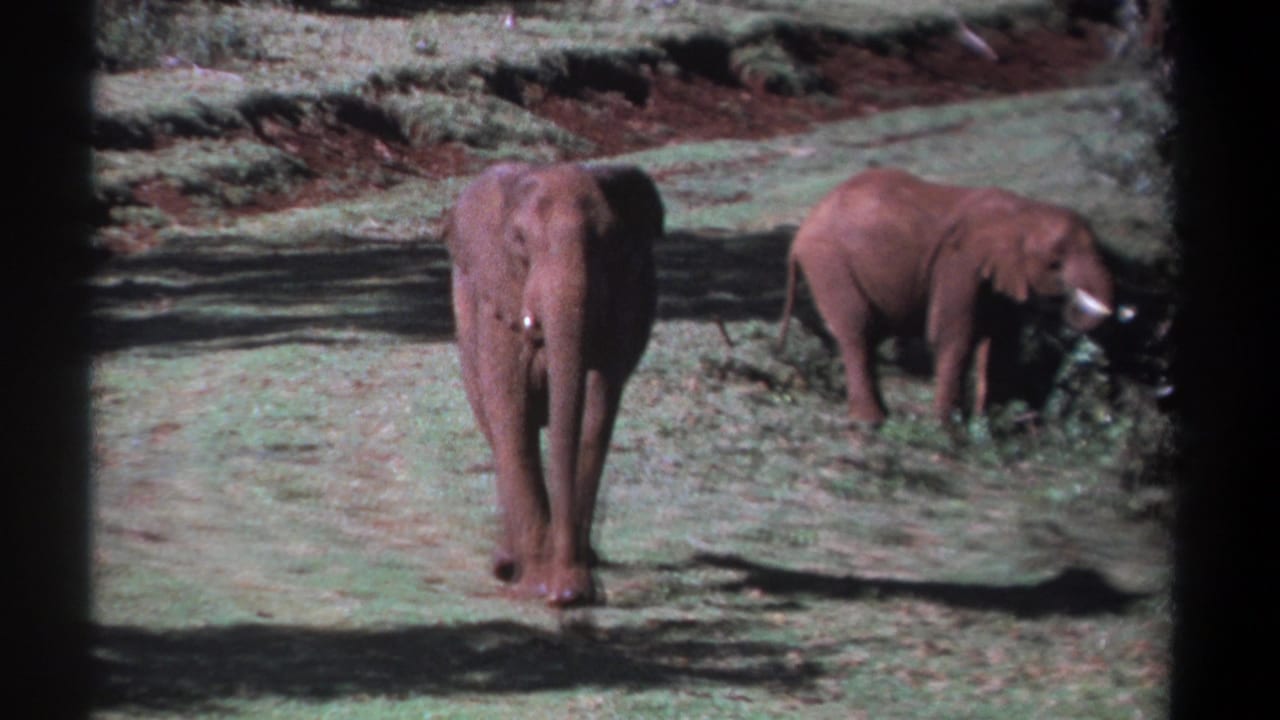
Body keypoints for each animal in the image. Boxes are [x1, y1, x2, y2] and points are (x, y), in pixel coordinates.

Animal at [444, 161, 662, 607]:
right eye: (519, 242)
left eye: (609, 240)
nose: (568, 593)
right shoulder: (497, 305)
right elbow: (512, 413)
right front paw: (536, 585)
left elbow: (597, 411)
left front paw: (572, 583)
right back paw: (508, 562)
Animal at [778, 167, 1115, 427]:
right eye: (1055, 263)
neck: (1020, 212)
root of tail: (800, 234)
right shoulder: (958, 263)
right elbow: (953, 334)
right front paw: (948, 426)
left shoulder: (995, 274)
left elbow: (1000, 340)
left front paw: (988, 424)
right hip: (829, 263)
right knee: (857, 331)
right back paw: (871, 421)